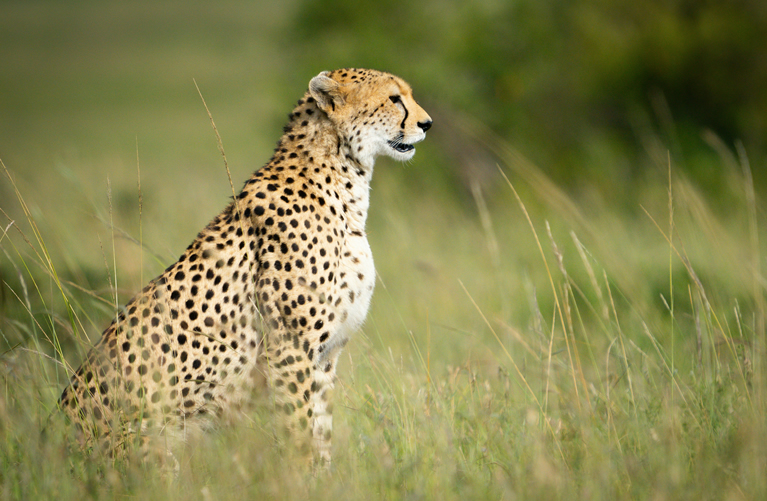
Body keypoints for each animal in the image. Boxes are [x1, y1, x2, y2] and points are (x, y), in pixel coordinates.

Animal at [57, 68, 432, 469]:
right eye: (394, 98)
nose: (427, 123)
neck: (343, 177)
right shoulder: (289, 349)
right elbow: (300, 429)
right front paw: (302, 475)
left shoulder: (325, 356)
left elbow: (321, 432)